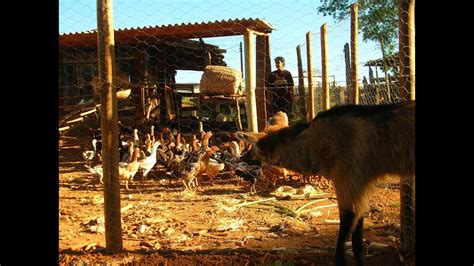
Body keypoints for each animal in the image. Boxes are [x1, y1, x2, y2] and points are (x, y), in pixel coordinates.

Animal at [237, 102, 414, 266]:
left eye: (252, 149)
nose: (240, 159)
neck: (313, 143)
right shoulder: (360, 187)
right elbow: (357, 244)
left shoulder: (347, 184)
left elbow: (341, 246)